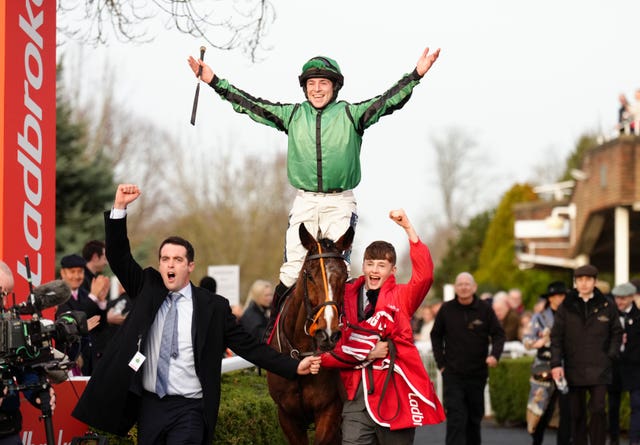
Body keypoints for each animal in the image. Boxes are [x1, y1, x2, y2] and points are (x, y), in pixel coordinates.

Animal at [266, 224, 356, 442]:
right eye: (310, 276)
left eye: (344, 277)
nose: (328, 333)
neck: (301, 353)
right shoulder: (286, 414)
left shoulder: (330, 410)